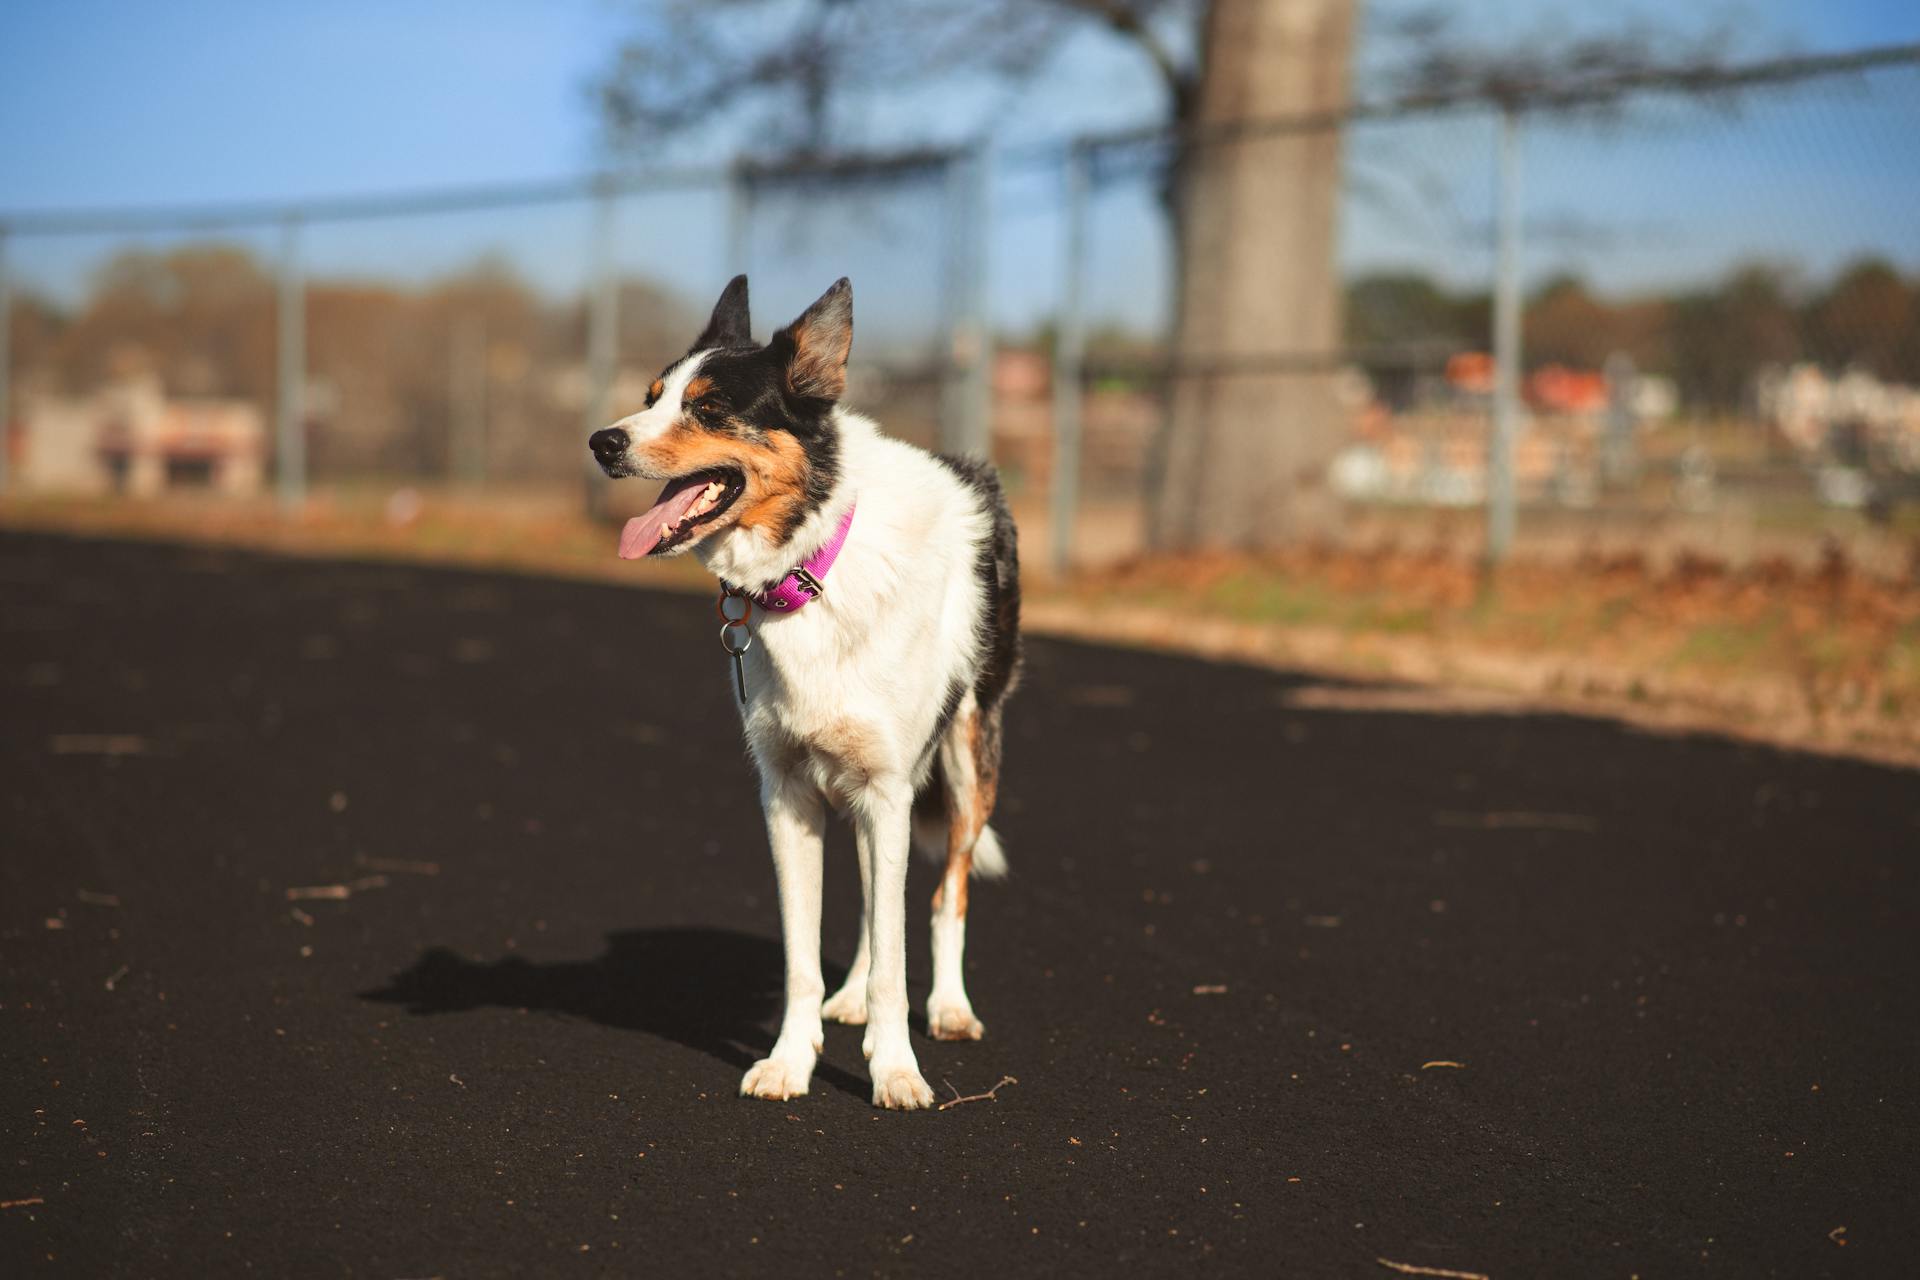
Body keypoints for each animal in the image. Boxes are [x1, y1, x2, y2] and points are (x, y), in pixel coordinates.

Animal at [583, 272, 1021, 1113]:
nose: (601, 442)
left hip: (965, 759)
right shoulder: (788, 796)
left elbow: (898, 951)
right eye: (651, 397)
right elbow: (805, 952)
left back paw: (949, 1008)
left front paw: (896, 1072)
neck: (811, 567)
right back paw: (850, 999)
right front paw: (791, 1062)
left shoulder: (887, 786)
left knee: (943, 894)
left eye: (708, 409)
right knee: (876, 903)